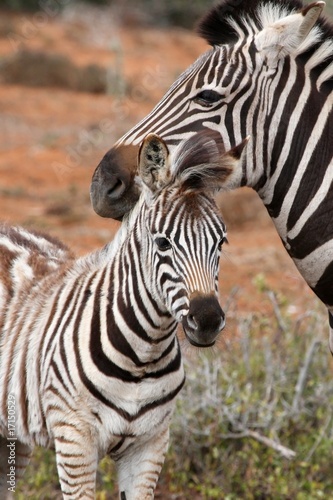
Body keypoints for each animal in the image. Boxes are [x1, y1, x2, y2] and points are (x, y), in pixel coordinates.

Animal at [0, 131, 244, 498]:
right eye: (163, 243)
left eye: (221, 243)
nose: (208, 321)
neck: (142, 355)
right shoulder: (75, 441)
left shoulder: (150, 444)